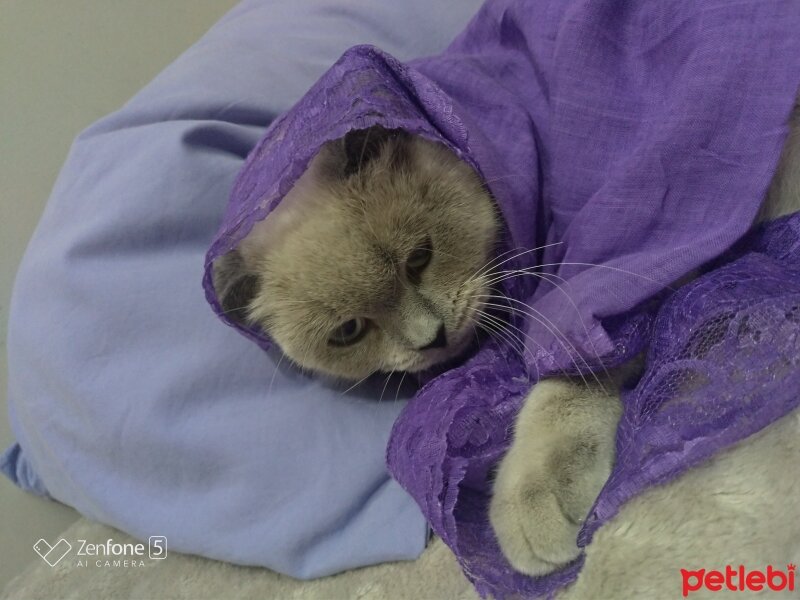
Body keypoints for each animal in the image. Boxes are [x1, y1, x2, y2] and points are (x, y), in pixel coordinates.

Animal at [214, 104, 800, 596]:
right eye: (349, 331)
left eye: (419, 257)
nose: (431, 337)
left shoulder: (616, 280)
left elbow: (562, 393)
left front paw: (533, 501)